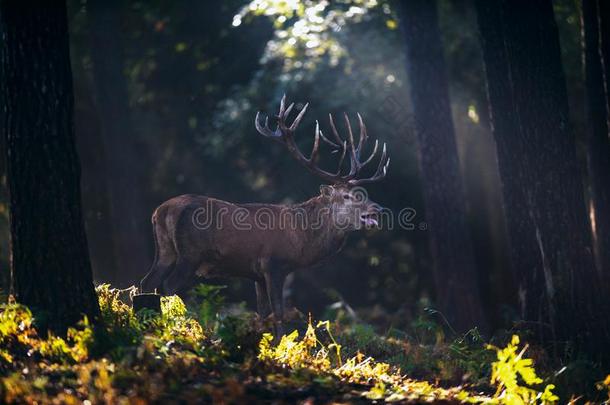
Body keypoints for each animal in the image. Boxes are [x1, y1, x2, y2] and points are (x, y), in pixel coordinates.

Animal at [138, 95, 388, 334]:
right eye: (346, 196)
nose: (378, 209)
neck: (301, 239)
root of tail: (161, 211)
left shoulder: (256, 274)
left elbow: (263, 313)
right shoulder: (274, 264)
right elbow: (278, 313)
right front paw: (280, 343)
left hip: (166, 250)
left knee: (146, 283)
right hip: (190, 254)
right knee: (168, 286)